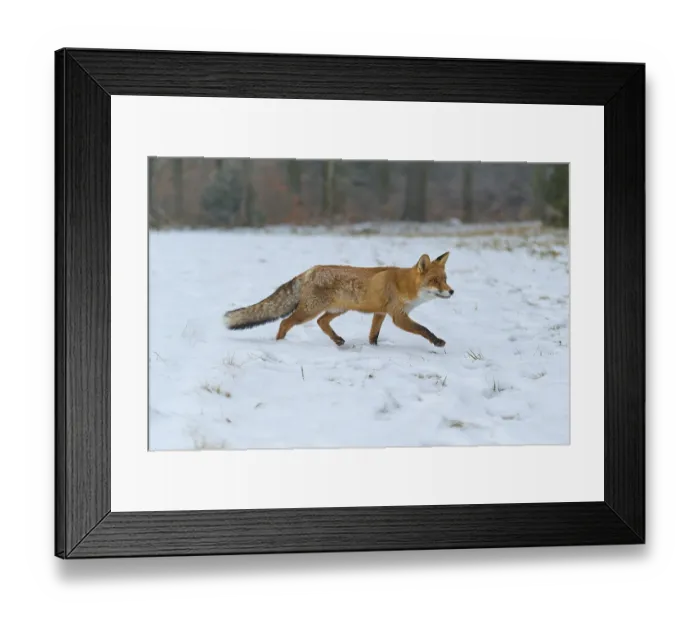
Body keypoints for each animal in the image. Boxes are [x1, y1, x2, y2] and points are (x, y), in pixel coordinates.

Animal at [223, 252, 454, 348]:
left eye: (445, 279)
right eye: (434, 281)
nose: (452, 292)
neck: (404, 285)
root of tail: (310, 270)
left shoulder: (380, 313)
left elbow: (374, 335)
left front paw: (374, 348)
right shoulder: (398, 316)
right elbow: (424, 329)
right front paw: (437, 342)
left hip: (337, 310)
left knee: (321, 322)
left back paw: (337, 340)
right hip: (309, 311)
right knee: (285, 322)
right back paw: (280, 344)